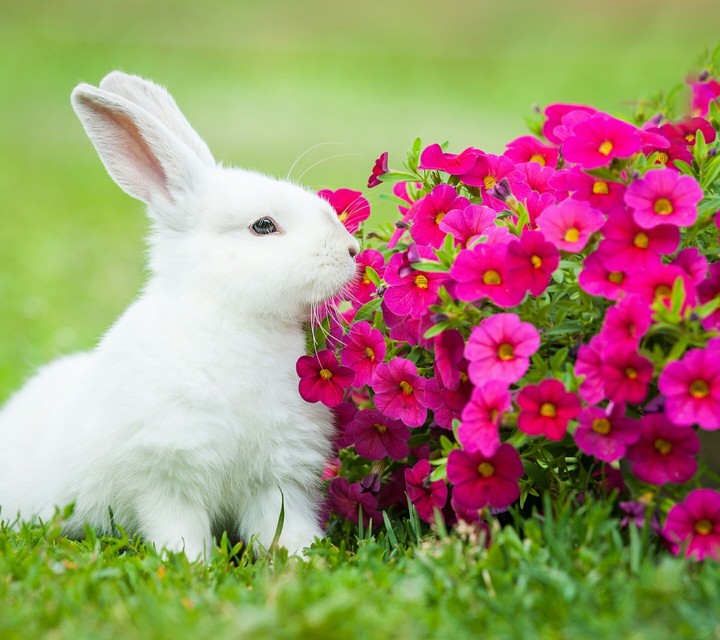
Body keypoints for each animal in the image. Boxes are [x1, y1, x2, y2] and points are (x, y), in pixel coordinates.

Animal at [0, 71, 360, 559]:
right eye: (263, 226)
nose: (352, 250)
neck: (234, 319)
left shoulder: (277, 477)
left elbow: (283, 526)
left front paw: (303, 558)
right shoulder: (167, 475)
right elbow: (179, 527)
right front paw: (191, 563)